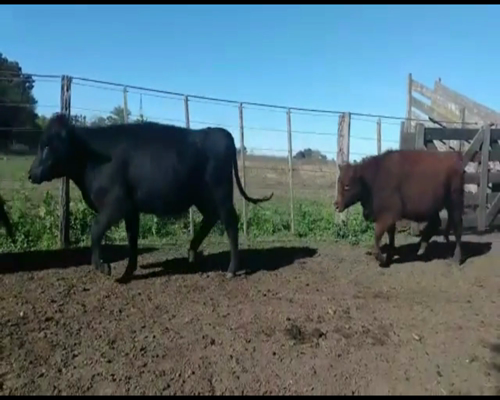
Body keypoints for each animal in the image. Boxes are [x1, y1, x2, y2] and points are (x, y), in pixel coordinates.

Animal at [27, 114, 274, 282]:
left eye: (47, 145)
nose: (31, 174)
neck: (92, 157)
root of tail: (220, 133)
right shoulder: (131, 210)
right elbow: (132, 239)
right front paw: (128, 272)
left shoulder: (116, 205)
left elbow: (95, 230)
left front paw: (103, 267)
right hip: (202, 197)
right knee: (211, 218)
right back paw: (192, 253)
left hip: (221, 193)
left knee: (230, 222)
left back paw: (232, 269)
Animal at [334, 148, 466, 268]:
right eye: (338, 182)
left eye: (347, 185)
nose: (336, 205)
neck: (372, 178)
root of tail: (455, 156)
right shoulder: (389, 219)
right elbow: (390, 236)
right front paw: (389, 256)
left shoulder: (387, 216)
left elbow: (377, 236)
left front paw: (382, 259)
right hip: (434, 208)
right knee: (435, 223)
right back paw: (421, 249)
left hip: (454, 203)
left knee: (457, 228)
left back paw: (456, 259)